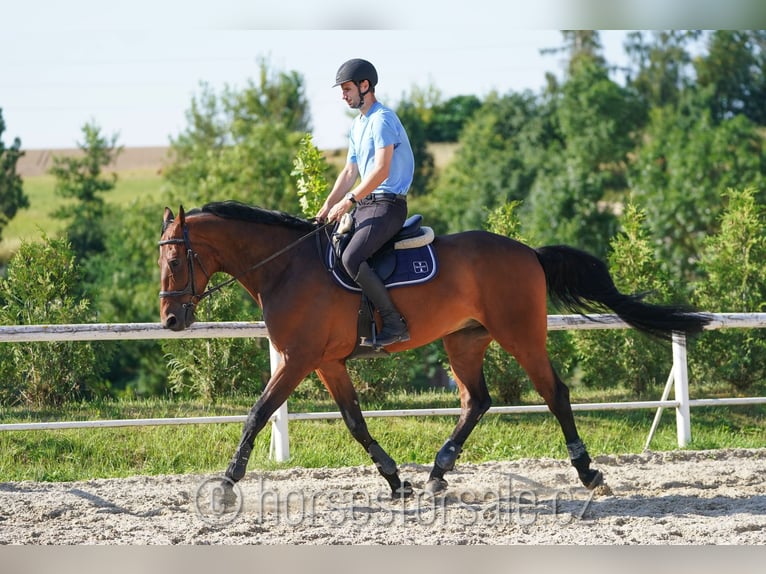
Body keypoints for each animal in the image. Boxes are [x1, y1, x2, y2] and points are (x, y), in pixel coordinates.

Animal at [158, 202, 712, 500]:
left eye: (177, 262)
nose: (171, 320)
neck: (286, 267)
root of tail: (529, 252)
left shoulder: (298, 360)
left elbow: (257, 413)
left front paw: (227, 481)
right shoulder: (327, 362)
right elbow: (355, 422)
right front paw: (395, 481)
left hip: (520, 334)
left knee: (554, 392)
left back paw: (589, 472)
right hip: (463, 339)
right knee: (477, 400)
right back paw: (437, 472)